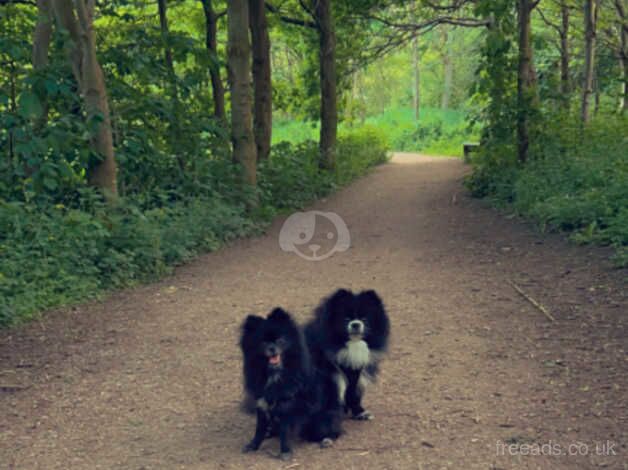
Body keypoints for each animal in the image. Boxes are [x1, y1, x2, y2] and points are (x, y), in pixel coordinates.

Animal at [239, 308, 338, 458]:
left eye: (280, 340)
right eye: (263, 343)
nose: (272, 348)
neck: (275, 373)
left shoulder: (286, 406)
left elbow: (284, 431)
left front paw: (285, 451)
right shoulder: (262, 402)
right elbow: (259, 429)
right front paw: (253, 445)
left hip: (321, 422)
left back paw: (326, 440)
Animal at [304, 288, 388, 420]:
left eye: (364, 319)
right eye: (346, 319)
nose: (355, 324)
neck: (353, 343)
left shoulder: (359, 374)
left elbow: (354, 395)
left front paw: (360, 412)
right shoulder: (330, 375)